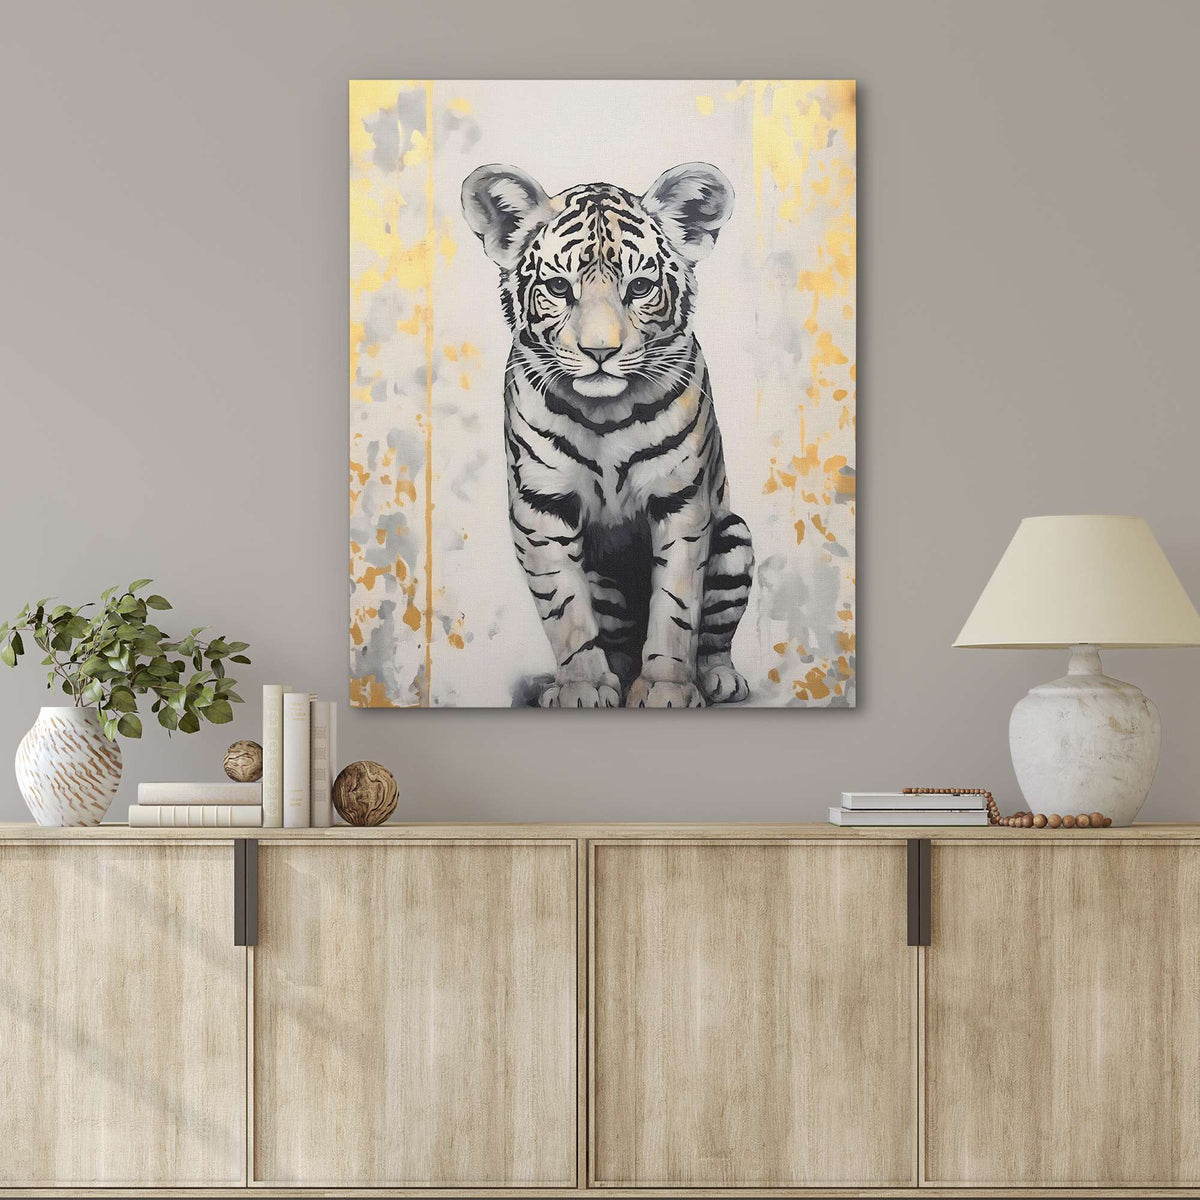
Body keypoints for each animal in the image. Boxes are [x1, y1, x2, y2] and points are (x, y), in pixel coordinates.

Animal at [461, 161, 754, 708]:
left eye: (639, 288)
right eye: (559, 288)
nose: (600, 352)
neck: (605, 414)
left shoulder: (683, 502)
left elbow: (676, 605)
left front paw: (665, 689)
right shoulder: (541, 507)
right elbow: (564, 606)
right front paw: (582, 687)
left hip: (734, 537)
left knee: (715, 634)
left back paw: (719, 678)